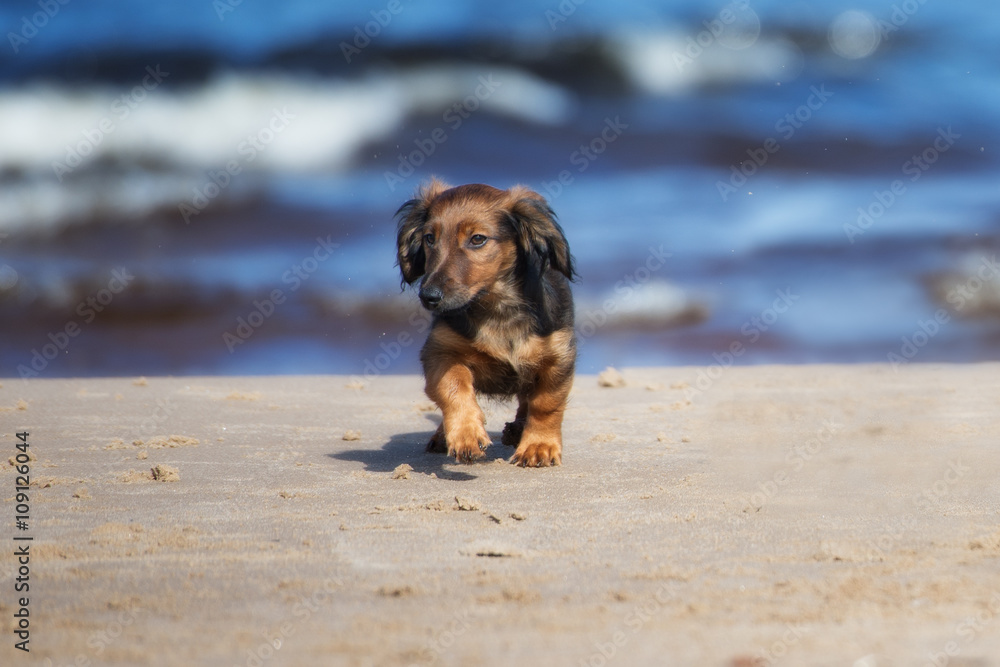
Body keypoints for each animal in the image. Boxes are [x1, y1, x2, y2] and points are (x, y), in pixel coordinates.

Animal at [394, 180, 576, 468]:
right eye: (430, 238)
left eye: (477, 239)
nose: (429, 296)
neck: (496, 309)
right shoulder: (440, 351)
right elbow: (454, 387)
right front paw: (465, 435)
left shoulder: (558, 356)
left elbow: (545, 403)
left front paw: (539, 446)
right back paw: (444, 435)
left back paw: (517, 429)